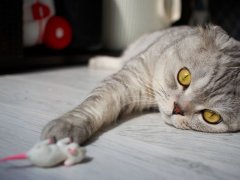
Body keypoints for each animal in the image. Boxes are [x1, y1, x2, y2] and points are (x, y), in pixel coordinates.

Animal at [40, 25, 240, 145]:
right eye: (184, 76)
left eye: (211, 116)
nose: (177, 108)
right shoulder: (131, 76)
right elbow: (95, 104)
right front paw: (67, 125)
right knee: (119, 59)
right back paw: (96, 60)